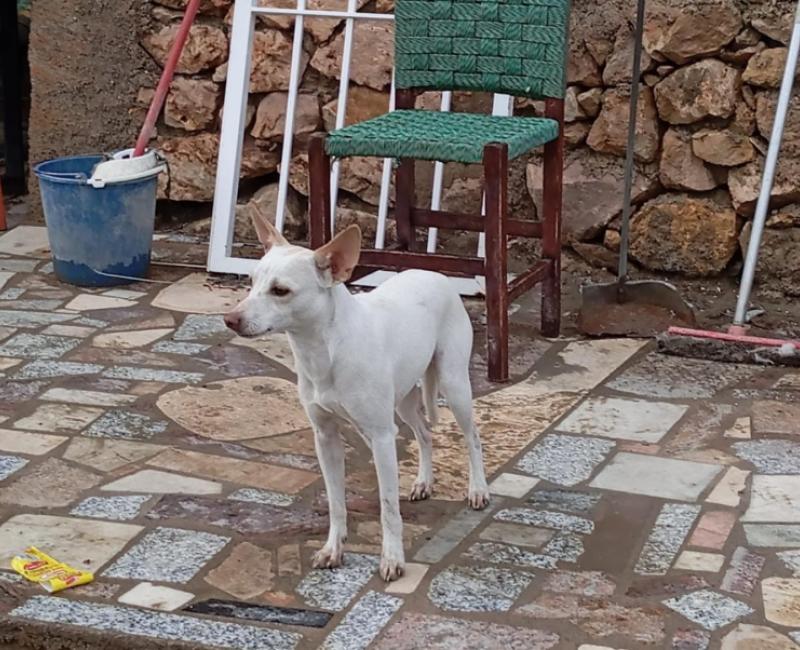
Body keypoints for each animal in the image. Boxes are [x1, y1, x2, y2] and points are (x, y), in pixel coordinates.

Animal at [224, 214, 490, 581]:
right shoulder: (326, 437)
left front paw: (393, 559)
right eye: (250, 283)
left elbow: (388, 507)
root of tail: (434, 272)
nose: (230, 319)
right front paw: (333, 549)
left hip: (454, 386)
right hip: (403, 402)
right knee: (424, 433)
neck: (324, 351)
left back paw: (478, 489)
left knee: (472, 436)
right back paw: (424, 481)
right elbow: (336, 502)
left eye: (280, 291)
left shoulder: (381, 437)